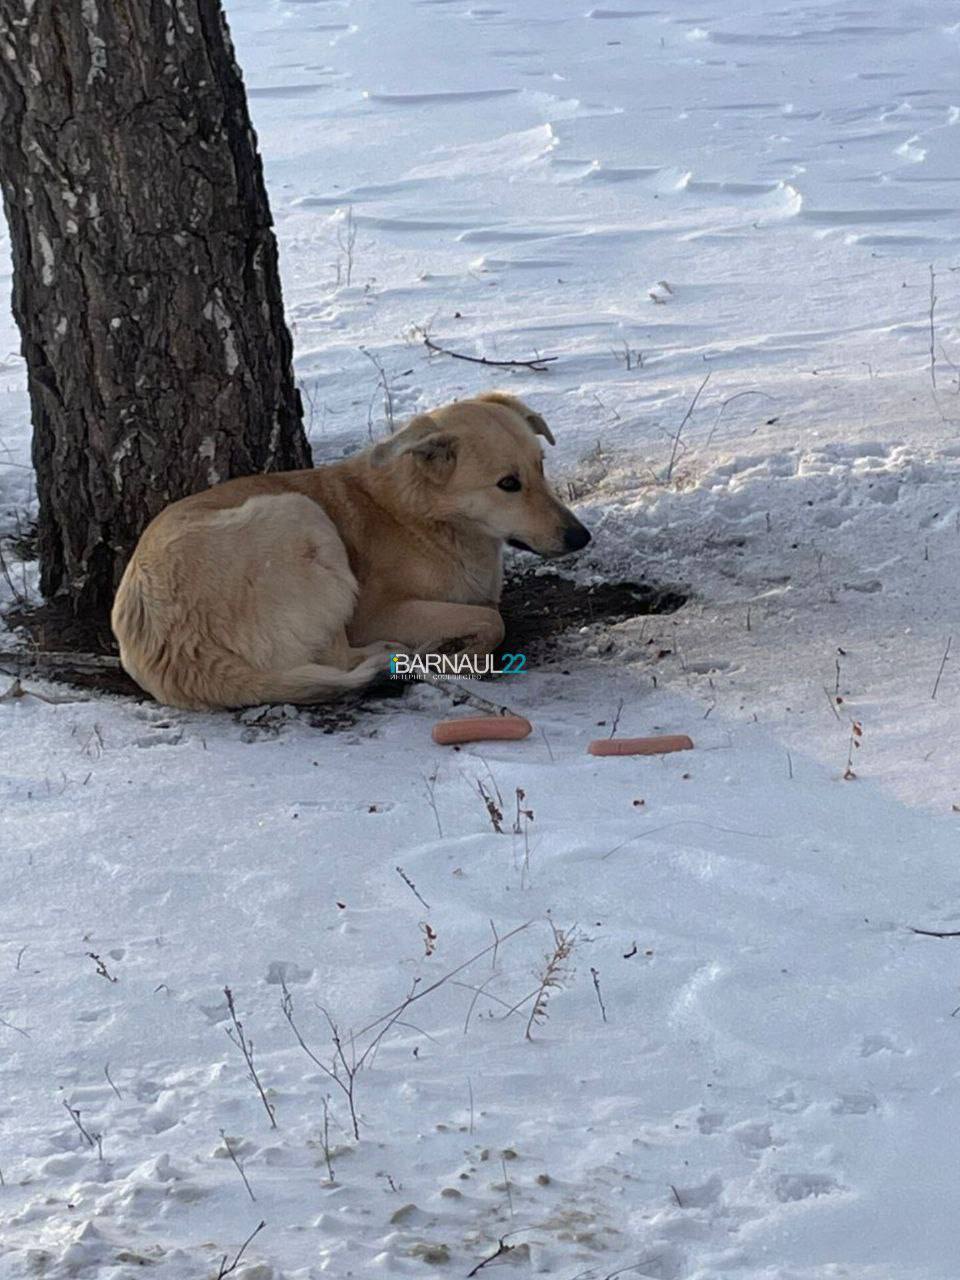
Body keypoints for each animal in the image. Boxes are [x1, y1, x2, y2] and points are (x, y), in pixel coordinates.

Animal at [113, 389, 593, 711]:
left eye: (541, 468)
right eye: (508, 484)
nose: (581, 537)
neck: (422, 516)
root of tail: (176, 648)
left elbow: (489, 612)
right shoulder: (377, 611)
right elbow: (493, 619)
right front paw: (458, 651)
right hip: (302, 515)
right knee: (339, 658)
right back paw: (397, 654)